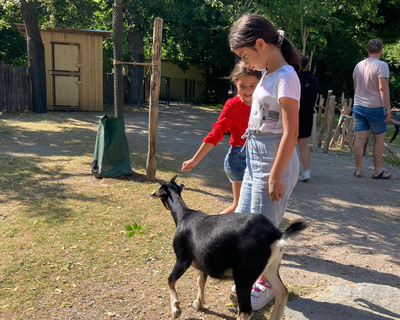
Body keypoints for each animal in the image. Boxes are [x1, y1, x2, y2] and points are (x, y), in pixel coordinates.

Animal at [152, 176, 308, 318]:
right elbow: (200, 280)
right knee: (282, 292)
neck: (184, 216)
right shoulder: (203, 260)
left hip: (245, 274)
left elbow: (170, 280)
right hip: (271, 267)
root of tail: (277, 234)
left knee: (246, 310)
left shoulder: (182, 258)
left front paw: (176, 308)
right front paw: (198, 303)